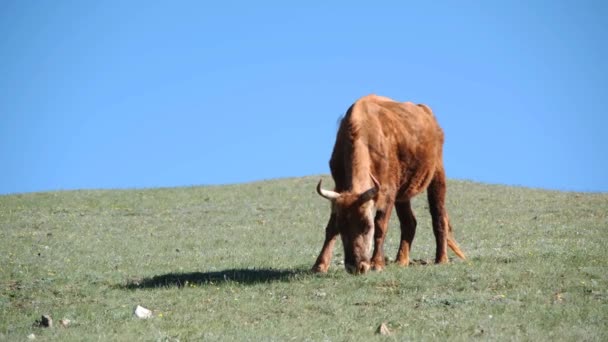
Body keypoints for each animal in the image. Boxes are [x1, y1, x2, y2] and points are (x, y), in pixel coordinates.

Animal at [314, 94, 466, 276]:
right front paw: (320, 265)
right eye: (342, 226)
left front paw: (377, 263)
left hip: (437, 175)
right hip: (403, 193)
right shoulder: (338, 189)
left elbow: (381, 227)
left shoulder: (388, 193)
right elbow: (330, 228)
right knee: (409, 222)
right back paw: (401, 260)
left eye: (367, 226)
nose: (356, 267)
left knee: (439, 217)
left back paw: (441, 259)